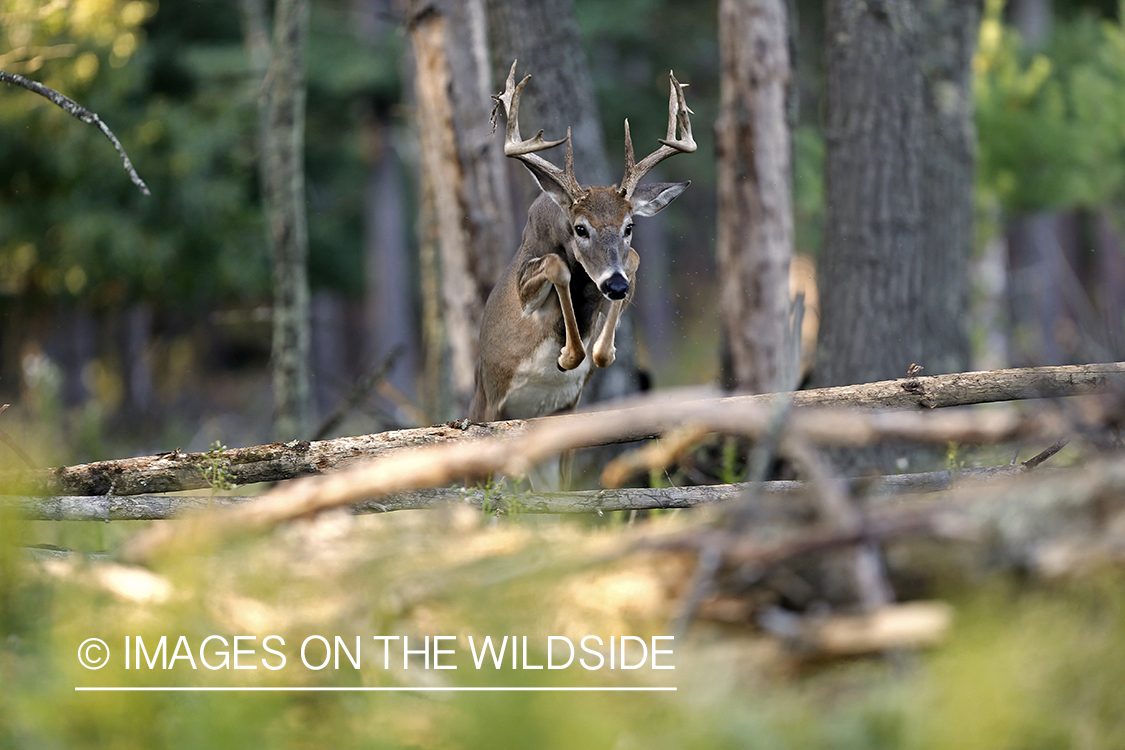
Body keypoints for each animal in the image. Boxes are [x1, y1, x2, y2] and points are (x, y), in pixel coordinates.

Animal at [468, 61, 693, 425]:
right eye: (580, 229)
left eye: (629, 226)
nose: (616, 285)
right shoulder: (525, 285)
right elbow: (557, 264)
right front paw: (567, 356)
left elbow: (634, 259)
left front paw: (599, 351)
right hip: (486, 406)